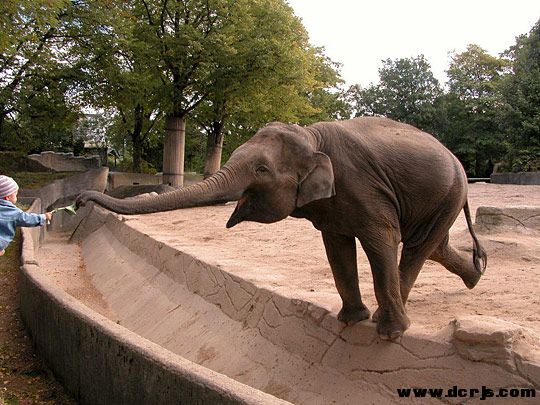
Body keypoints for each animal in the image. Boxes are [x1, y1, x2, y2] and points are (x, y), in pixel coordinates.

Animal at [77, 117, 487, 340]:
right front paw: (350, 320)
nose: (80, 201)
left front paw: (386, 333)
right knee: (432, 246)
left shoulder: (366, 190)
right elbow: (337, 247)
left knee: (417, 246)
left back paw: (395, 318)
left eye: (261, 170)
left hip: (448, 193)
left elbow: (381, 241)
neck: (311, 135)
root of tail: (457, 161)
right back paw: (476, 275)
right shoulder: (334, 203)